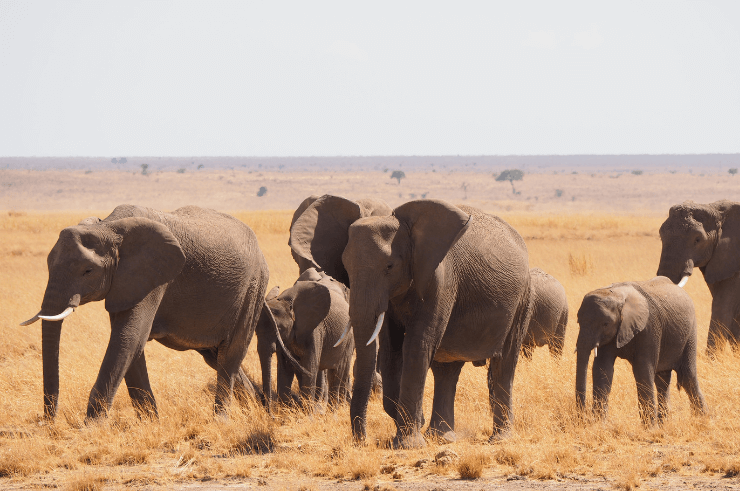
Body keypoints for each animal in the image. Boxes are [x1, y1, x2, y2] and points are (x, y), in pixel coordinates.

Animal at [19, 206, 268, 420]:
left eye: (88, 271)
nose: (49, 422)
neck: (108, 226)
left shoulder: (153, 277)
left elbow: (127, 338)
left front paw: (91, 427)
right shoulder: (125, 283)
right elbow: (131, 344)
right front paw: (151, 422)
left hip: (254, 287)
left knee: (230, 355)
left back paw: (222, 419)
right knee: (214, 356)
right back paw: (256, 408)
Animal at [258, 268, 356, 410]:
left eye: (278, 329)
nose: (269, 412)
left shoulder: (315, 330)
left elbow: (310, 368)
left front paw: (306, 411)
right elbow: (285, 368)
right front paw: (288, 412)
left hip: (348, 337)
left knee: (338, 372)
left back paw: (335, 410)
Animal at [290, 197, 532, 450]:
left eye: (389, 267)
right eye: (345, 267)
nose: (361, 441)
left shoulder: (441, 281)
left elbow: (416, 346)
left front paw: (408, 444)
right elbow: (391, 351)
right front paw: (412, 426)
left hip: (522, 299)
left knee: (504, 363)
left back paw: (499, 438)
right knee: (447, 369)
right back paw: (441, 436)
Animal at [572, 276, 704, 426]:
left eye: (605, 324)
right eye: (578, 322)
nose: (582, 419)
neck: (617, 294)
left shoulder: (649, 328)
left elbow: (642, 370)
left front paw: (650, 428)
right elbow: (602, 369)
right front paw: (599, 424)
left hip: (691, 332)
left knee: (688, 376)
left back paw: (702, 419)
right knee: (662, 380)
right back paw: (664, 424)